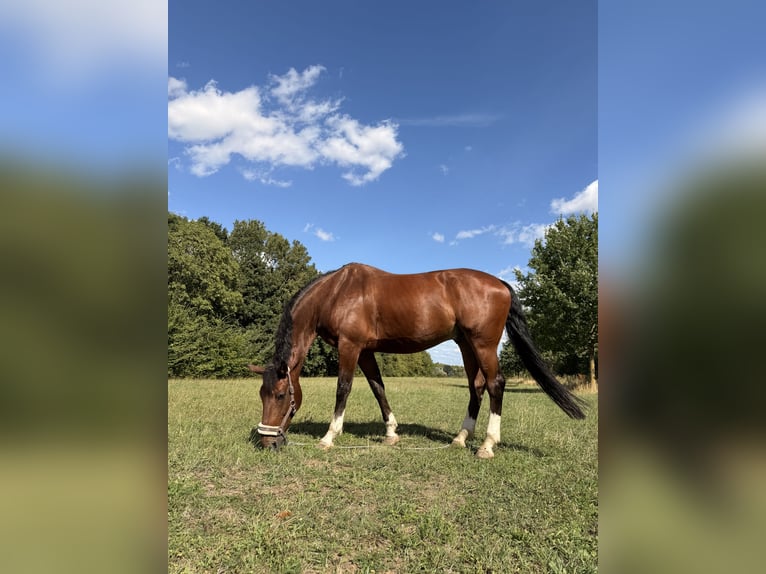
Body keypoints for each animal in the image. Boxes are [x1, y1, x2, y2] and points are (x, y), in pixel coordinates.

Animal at [249, 263, 586, 458]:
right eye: (261, 394)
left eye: (281, 394)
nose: (267, 443)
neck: (337, 291)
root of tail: (500, 283)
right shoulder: (366, 351)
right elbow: (378, 388)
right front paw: (391, 434)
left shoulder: (350, 347)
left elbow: (343, 388)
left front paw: (329, 437)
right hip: (466, 345)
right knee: (476, 386)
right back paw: (460, 438)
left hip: (483, 345)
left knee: (495, 384)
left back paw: (487, 445)